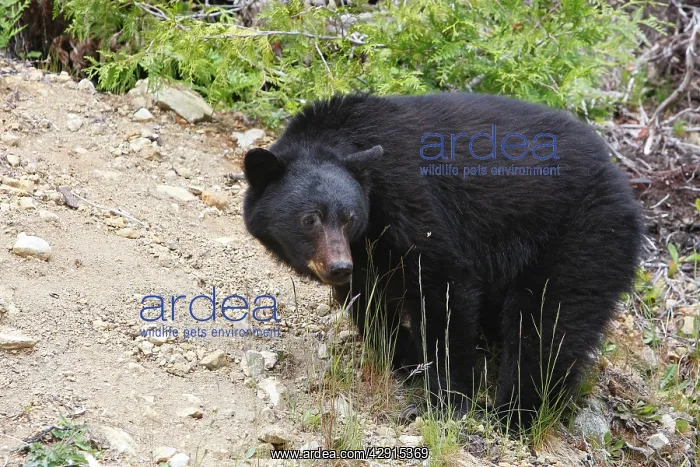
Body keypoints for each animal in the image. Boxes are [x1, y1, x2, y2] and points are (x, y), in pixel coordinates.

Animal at [242, 92, 644, 430]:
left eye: (348, 216)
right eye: (310, 219)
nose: (339, 267)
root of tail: (626, 188)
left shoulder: (411, 200)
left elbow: (445, 288)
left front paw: (443, 400)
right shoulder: (369, 254)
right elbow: (371, 305)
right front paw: (407, 356)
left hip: (580, 233)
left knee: (548, 321)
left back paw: (517, 412)